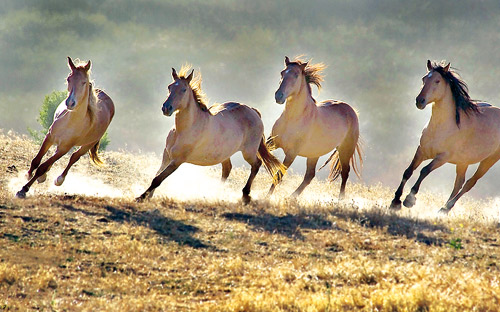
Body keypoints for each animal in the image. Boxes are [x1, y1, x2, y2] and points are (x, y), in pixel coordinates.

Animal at [15, 56, 115, 197]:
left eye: (84, 82)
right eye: (69, 79)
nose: (70, 103)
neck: (71, 122)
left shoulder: (65, 148)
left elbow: (42, 167)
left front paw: (23, 189)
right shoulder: (49, 137)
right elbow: (36, 160)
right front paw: (26, 175)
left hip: (87, 144)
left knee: (74, 157)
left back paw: (59, 179)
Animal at [136, 65, 286, 202]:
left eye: (184, 89)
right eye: (169, 87)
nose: (166, 108)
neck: (184, 129)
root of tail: (253, 111)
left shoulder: (178, 160)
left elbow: (158, 179)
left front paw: (141, 197)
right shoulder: (166, 155)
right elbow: (157, 175)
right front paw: (148, 196)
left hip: (248, 151)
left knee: (256, 164)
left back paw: (245, 195)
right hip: (225, 153)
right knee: (227, 169)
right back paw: (217, 193)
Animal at [268, 56, 362, 199]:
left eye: (296, 74)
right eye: (282, 73)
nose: (279, 96)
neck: (293, 118)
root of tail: (351, 110)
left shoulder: (292, 153)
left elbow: (278, 175)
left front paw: (265, 197)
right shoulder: (272, 142)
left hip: (345, 149)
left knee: (344, 172)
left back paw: (340, 199)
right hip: (314, 153)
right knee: (310, 175)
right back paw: (291, 197)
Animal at [390, 59, 500, 213]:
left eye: (437, 81)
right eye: (424, 79)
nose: (420, 101)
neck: (442, 127)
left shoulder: (442, 157)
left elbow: (424, 171)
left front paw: (409, 200)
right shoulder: (421, 150)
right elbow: (408, 171)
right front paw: (395, 201)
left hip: (490, 159)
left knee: (470, 183)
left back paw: (446, 208)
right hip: (463, 161)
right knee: (459, 182)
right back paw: (443, 209)